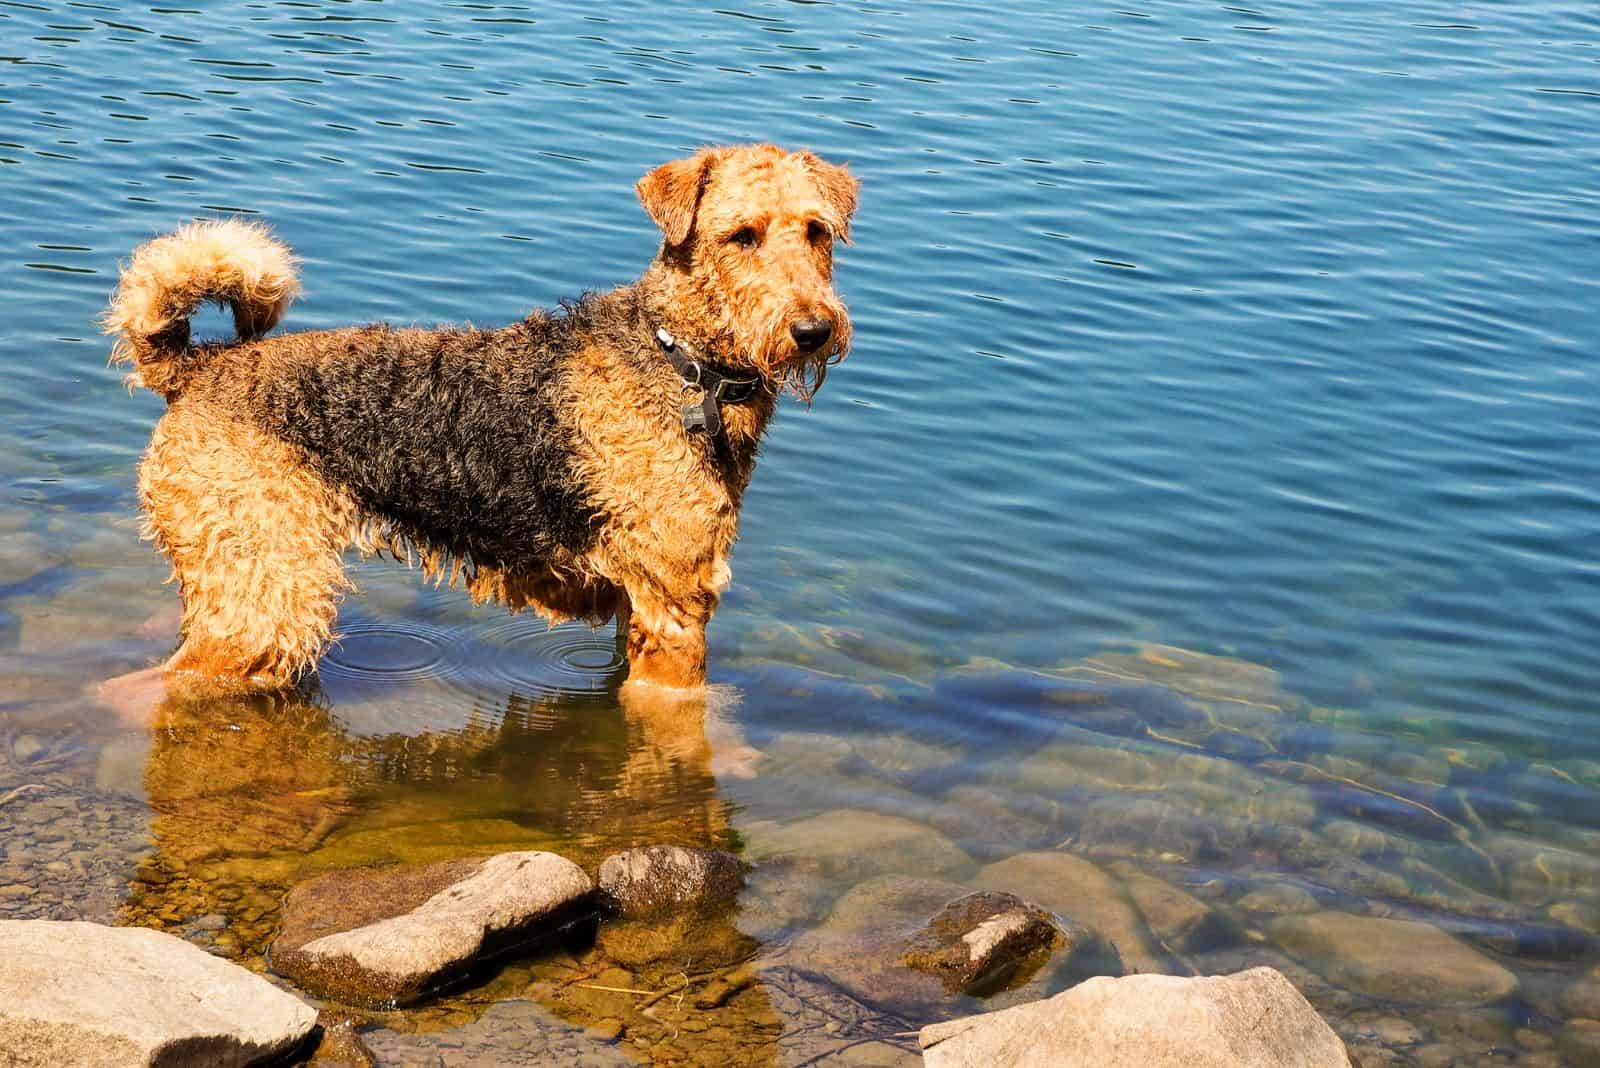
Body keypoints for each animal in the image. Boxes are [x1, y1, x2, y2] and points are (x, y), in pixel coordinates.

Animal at [104, 143, 857, 693]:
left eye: (817, 231)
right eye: (742, 236)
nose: (813, 331)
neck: (684, 362)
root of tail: (198, 366)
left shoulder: (643, 601)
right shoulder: (675, 602)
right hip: (264, 598)